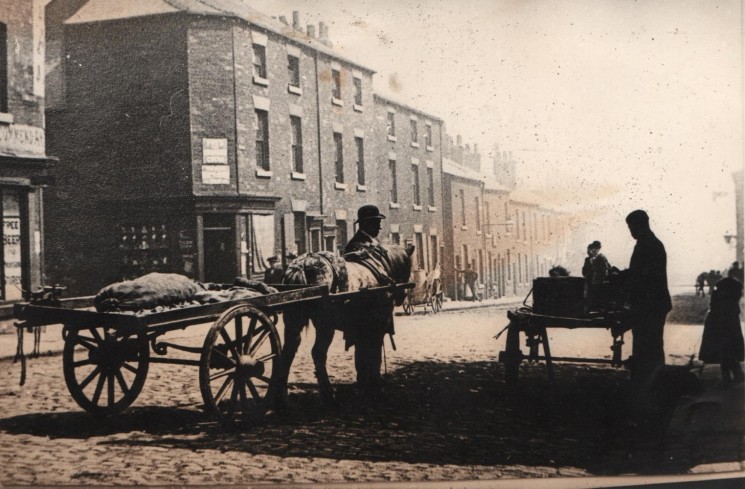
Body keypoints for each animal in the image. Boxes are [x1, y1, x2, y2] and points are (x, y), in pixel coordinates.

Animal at [268, 243, 416, 408]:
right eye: (409, 265)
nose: (403, 296)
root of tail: (304, 263)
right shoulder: (376, 327)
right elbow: (373, 354)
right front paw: (374, 384)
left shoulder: (361, 328)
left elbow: (362, 355)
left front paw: (364, 383)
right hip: (325, 325)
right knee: (318, 353)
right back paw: (328, 394)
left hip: (294, 321)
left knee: (288, 352)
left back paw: (280, 398)